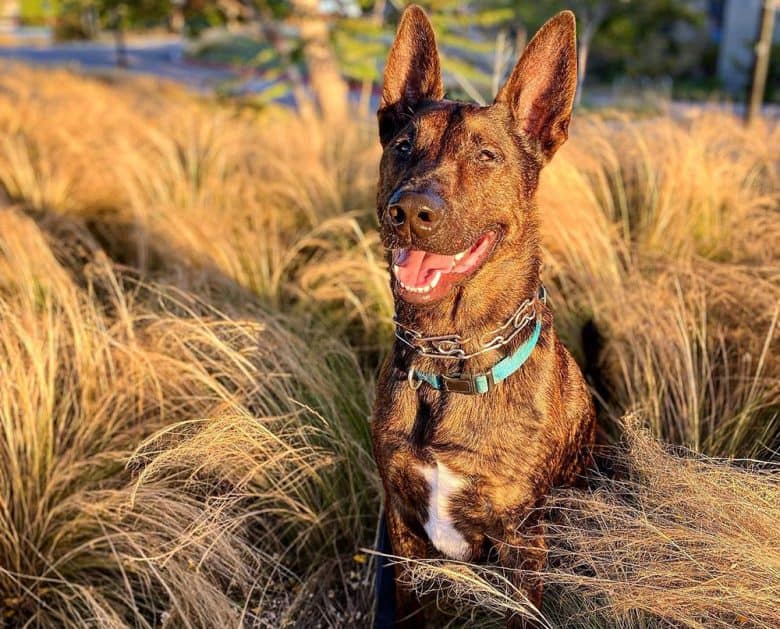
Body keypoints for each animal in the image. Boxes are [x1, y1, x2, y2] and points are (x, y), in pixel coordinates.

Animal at [372, 6, 596, 628]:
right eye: (404, 145)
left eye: (486, 156)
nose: (410, 212)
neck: (448, 363)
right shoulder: (400, 524)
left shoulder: (524, 545)